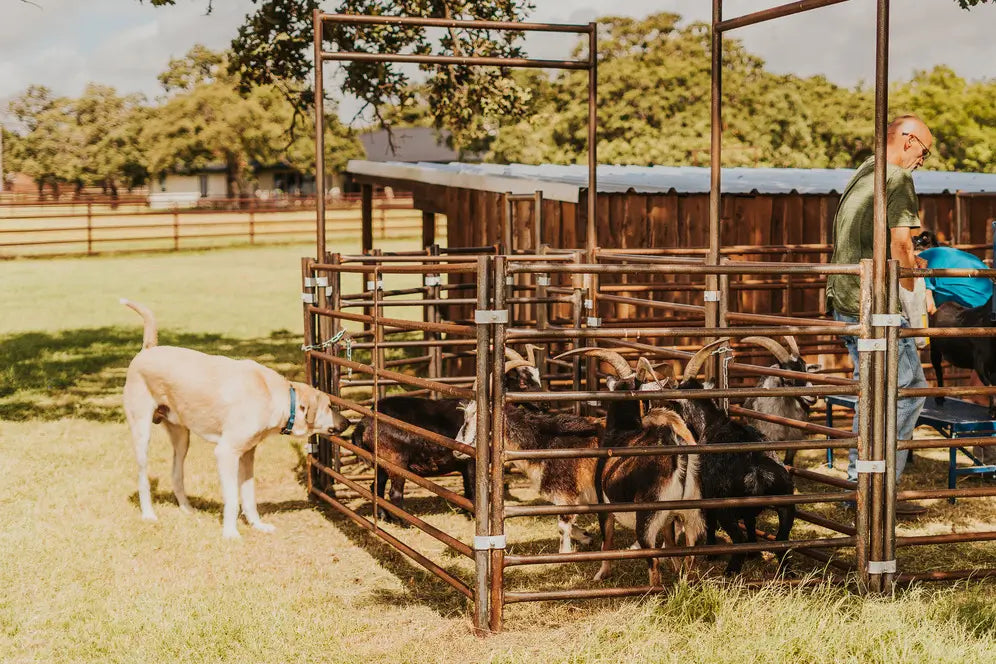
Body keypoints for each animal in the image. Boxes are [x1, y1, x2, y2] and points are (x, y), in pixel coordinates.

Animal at [121, 300, 350, 540]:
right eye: (329, 406)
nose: (347, 423)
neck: (274, 395)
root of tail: (148, 349)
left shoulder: (247, 455)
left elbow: (249, 497)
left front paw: (257, 525)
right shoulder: (226, 452)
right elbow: (232, 499)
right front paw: (230, 533)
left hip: (182, 437)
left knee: (176, 475)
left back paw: (187, 509)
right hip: (142, 434)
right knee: (142, 478)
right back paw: (148, 514)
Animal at [354, 350, 540, 528]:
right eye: (523, 383)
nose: (543, 405)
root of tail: (364, 422)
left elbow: (467, 490)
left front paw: (468, 513)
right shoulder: (472, 462)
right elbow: (473, 490)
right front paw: (476, 516)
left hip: (381, 463)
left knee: (376, 487)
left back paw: (383, 517)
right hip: (395, 461)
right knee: (395, 493)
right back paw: (406, 523)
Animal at [664, 340, 796, 572]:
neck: (712, 422)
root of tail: (757, 471)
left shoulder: (706, 495)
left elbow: (709, 523)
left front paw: (711, 554)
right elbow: (751, 522)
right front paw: (754, 553)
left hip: (726, 508)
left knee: (738, 538)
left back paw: (731, 569)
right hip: (786, 503)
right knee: (781, 539)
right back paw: (785, 572)